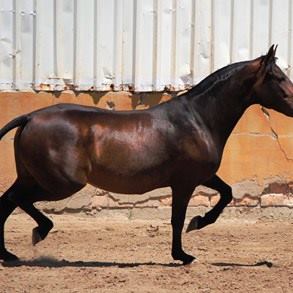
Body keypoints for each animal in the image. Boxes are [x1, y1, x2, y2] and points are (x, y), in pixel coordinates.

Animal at [0, 45, 290, 262]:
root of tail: (30, 117)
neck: (198, 118)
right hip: (61, 183)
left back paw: (8, 254)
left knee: (7, 202)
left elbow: (227, 193)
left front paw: (199, 223)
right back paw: (39, 232)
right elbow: (177, 219)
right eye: (277, 78)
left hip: (33, 177)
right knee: (16, 199)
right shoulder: (184, 183)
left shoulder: (202, 176)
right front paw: (183, 254)